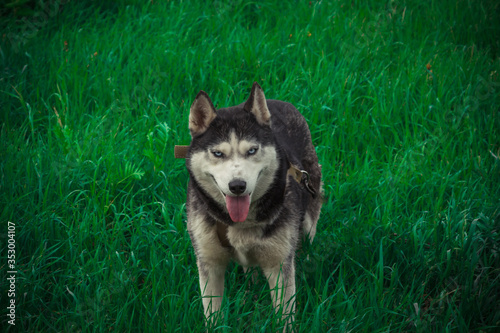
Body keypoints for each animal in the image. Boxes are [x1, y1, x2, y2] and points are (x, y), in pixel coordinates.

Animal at [183, 82, 320, 326]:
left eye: (252, 150)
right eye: (217, 153)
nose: (237, 185)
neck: (239, 222)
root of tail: (279, 102)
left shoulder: (279, 264)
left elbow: (285, 314)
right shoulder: (209, 261)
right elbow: (213, 313)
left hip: (309, 213)